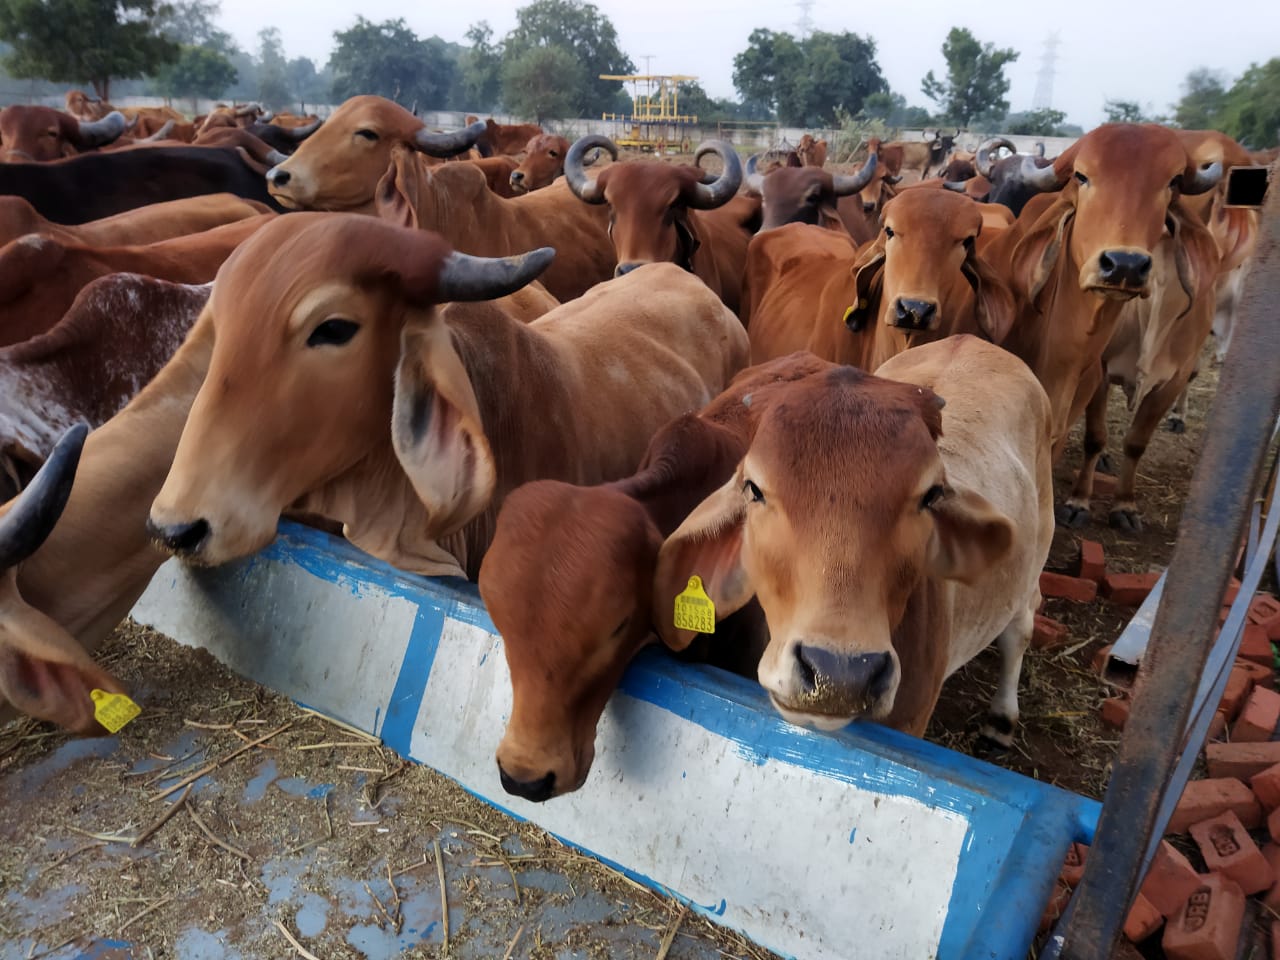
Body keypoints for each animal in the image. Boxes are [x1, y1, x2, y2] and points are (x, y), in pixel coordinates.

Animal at [652, 335, 1053, 744]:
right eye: (754, 489)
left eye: (931, 495)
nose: (841, 676)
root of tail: (970, 339)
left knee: (1020, 626)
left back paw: (1001, 718)